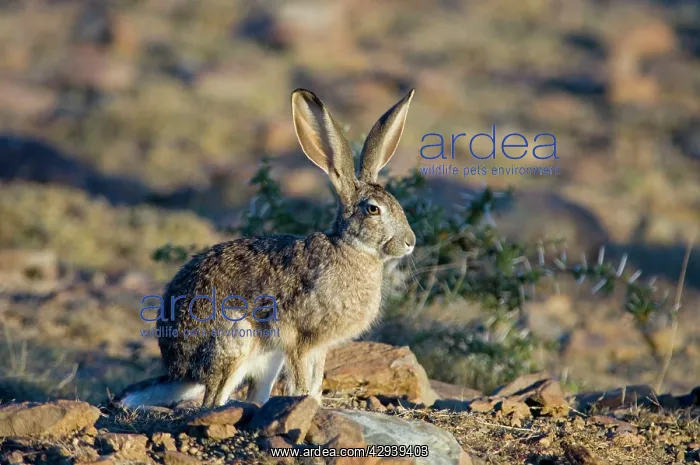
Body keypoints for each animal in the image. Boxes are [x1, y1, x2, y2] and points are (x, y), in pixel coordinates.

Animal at [117, 87, 417, 409]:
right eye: (373, 209)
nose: (410, 241)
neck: (351, 247)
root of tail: (179, 369)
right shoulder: (299, 339)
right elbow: (301, 382)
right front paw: (305, 404)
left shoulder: (321, 347)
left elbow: (315, 382)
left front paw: (317, 405)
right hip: (235, 340)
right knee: (212, 400)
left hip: (267, 361)